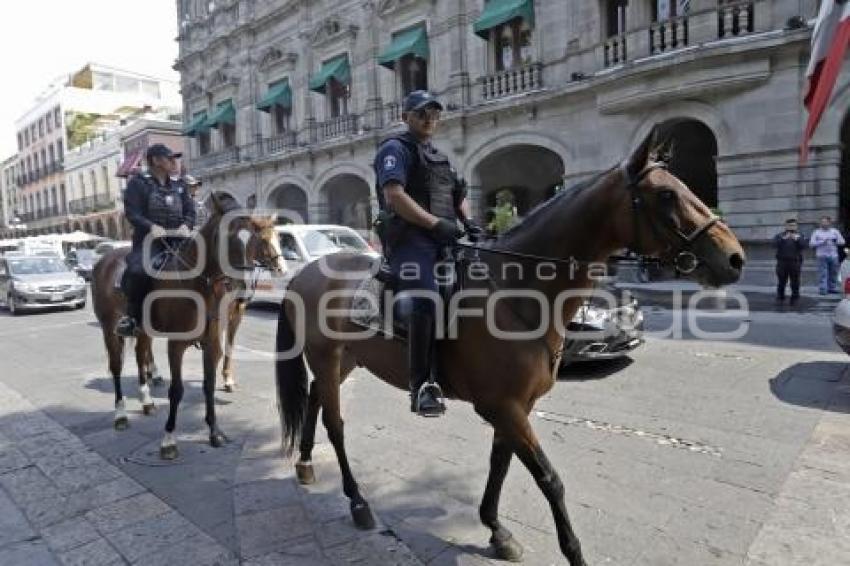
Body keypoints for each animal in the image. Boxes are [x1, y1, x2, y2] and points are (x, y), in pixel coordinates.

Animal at [92, 197, 284, 450]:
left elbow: (209, 383)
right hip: (109, 329)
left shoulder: (212, 342)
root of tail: (103, 261)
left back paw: (146, 401)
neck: (199, 286)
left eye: (254, 238)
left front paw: (214, 431)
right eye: (229, 237)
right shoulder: (176, 345)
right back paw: (121, 414)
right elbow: (176, 390)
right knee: (116, 367)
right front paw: (169, 439)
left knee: (141, 357)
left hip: (143, 331)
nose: (241, 288)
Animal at [272, 131, 744, 564]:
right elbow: (549, 478)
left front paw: (496, 529)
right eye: (666, 194)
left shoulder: (515, 406)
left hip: (346, 359)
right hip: (327, 358)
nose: (735, 257)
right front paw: (572, 551)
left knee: (314, 398)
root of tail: (304, 273)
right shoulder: (503, 406)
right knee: (335, 423)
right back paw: (357, 500)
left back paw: (306, 464)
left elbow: (500, 464)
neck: (519, 290)